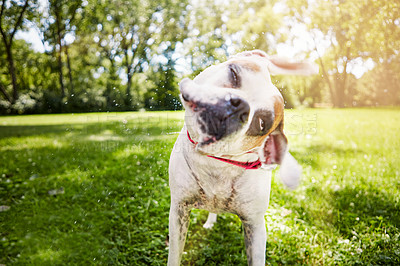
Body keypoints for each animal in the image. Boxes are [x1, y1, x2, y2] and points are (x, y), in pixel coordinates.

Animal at [167, 49, 318, 264]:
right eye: (234, 74)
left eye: (261, 123)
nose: (238, 105)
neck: (216, 163)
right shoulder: (179, 210)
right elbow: (174, 255)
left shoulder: (254, 226)